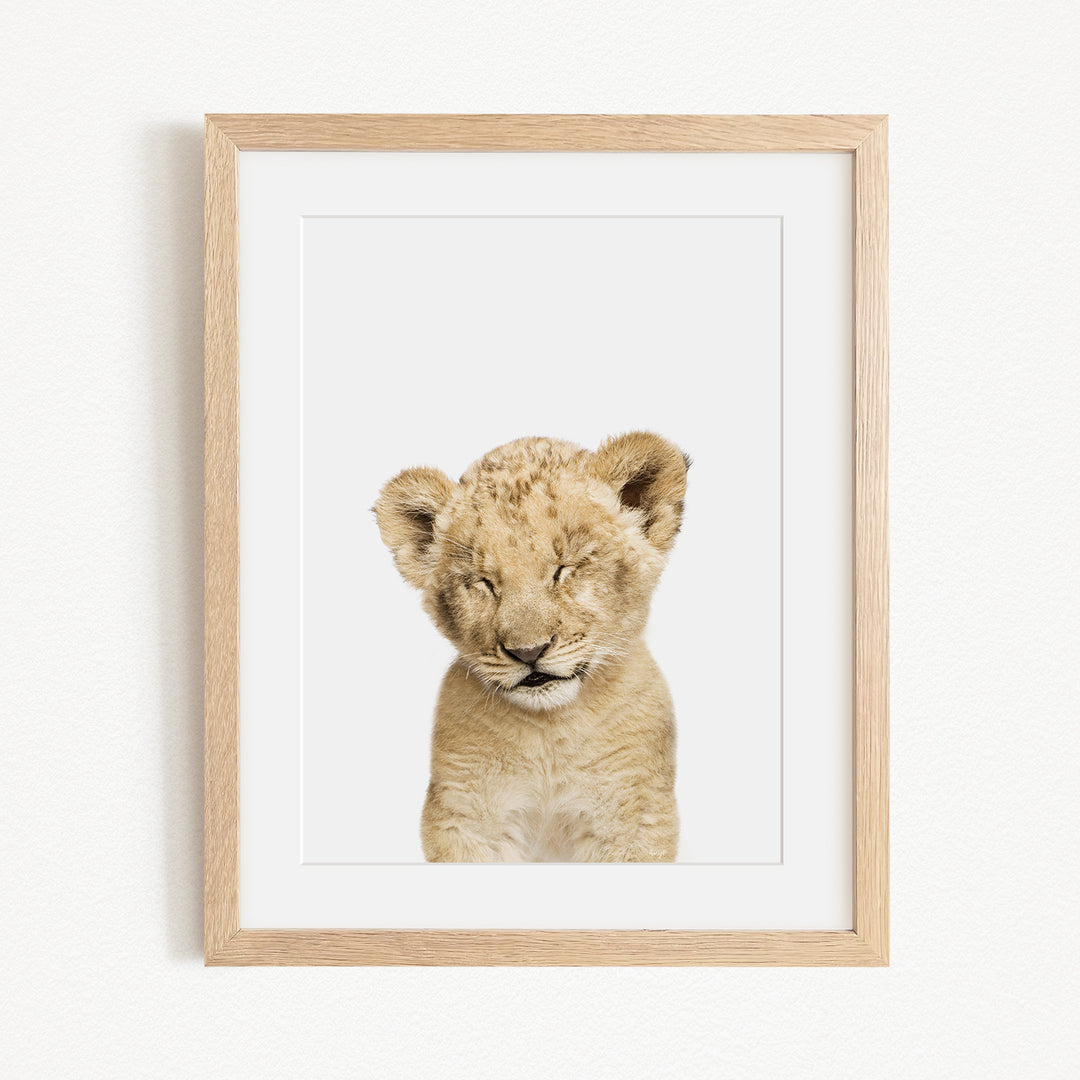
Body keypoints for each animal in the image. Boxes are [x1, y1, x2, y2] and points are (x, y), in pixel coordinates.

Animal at [374, 432, 688, 862]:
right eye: (484, 582)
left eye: (564, 569)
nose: (528, 652)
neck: (548, 732)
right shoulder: (464, 816)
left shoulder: (634, 816)